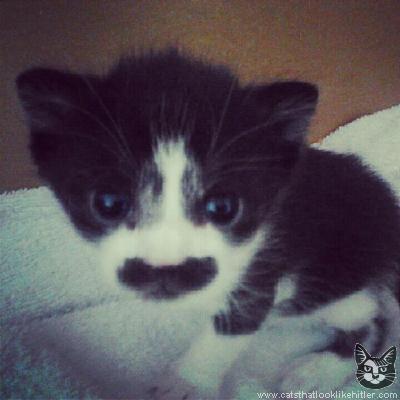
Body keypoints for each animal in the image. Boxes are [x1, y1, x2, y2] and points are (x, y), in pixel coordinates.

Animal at [16, 49, 400, 397]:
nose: (165, 271)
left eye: (224, 207)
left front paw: (185, 383)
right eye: (108, 203)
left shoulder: (263, 267)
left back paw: (317, 370)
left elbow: (235, 324)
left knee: (375, 317)